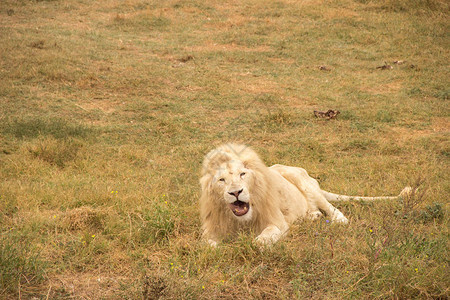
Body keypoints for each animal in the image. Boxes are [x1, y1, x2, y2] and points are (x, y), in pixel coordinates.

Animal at [200, 144, 412, 246]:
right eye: (222, 180)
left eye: (242, 174)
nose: (236, 192)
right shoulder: (210, 229)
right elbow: (206, 244)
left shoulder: (277, 222)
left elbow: (263, 239)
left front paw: (252, 244)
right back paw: (312, 217)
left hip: (301, 181)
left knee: (333, 210)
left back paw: (334, 222)